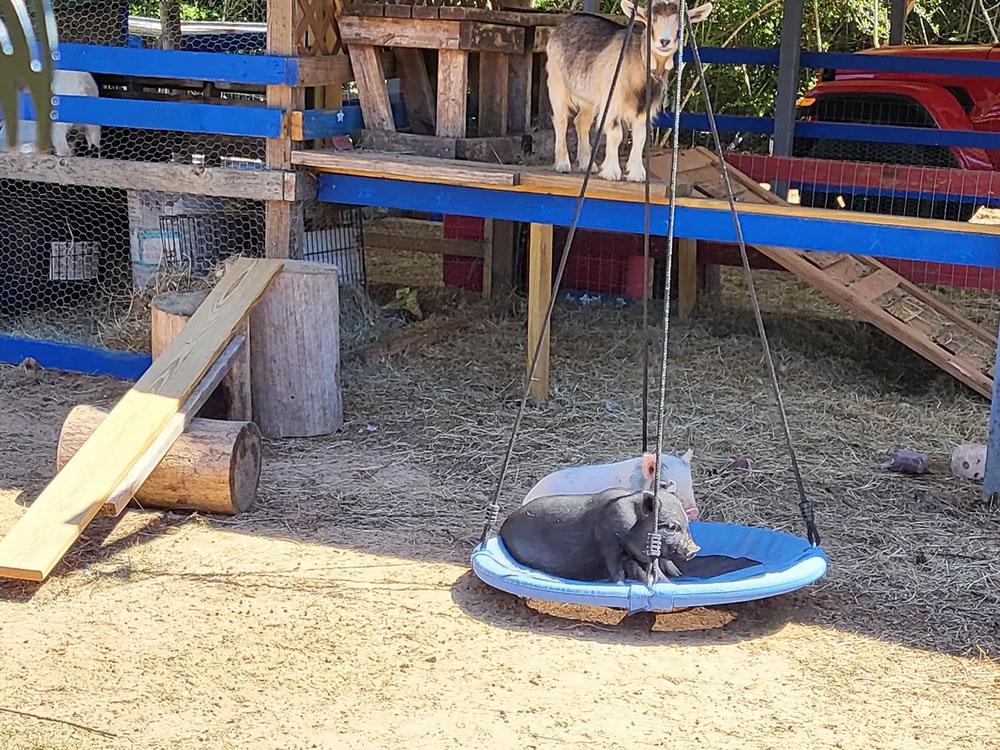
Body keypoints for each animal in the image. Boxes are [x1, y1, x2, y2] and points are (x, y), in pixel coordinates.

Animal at [544, 1, 716, 184]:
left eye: (679, 26)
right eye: (651, 22)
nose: (664, 41)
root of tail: (564, 23)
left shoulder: (645, 108)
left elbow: (640, 136)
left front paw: (637, 174)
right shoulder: (612, 102)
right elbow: (616, 134)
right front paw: (612, 172)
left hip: (589, 98)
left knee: (581, 122)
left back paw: (586, 163)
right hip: (557, 83)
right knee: (561, 120)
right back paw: (563, 164)